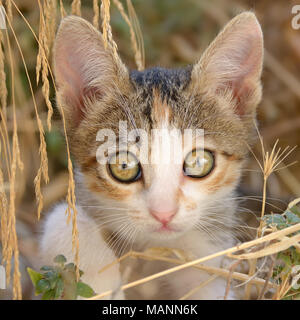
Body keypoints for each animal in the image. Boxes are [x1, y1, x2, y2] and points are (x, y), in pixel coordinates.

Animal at [39, 10, 262, 300]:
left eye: (199, 162)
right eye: (123, 166)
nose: (163, 213)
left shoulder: (209, 254)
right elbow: (60, 221)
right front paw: (101, 282)